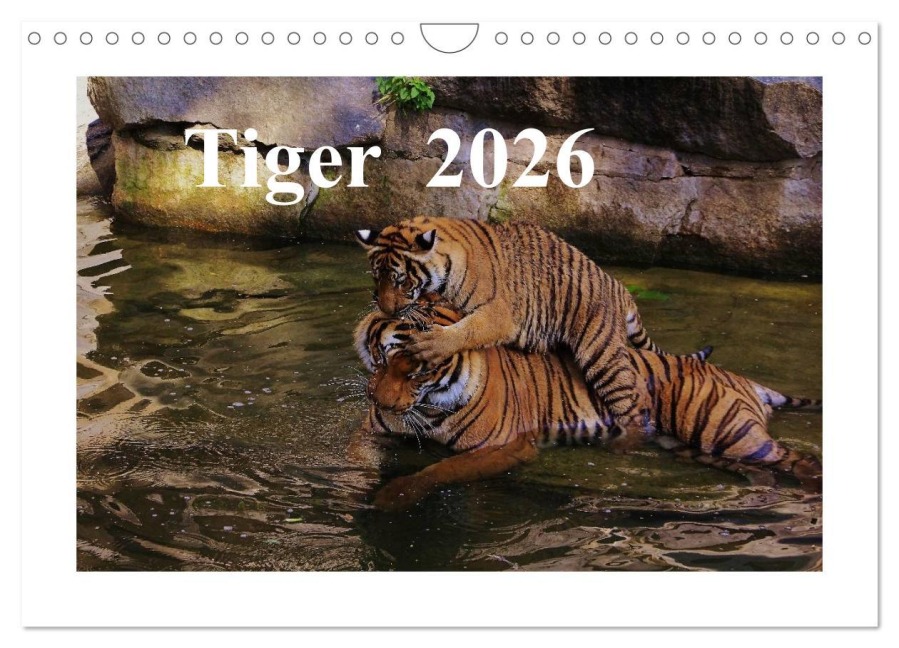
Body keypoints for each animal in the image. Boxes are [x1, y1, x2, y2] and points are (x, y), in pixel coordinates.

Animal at [351, 297, 822, 511]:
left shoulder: (507, 447)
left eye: (419, 371)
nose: (379, 400)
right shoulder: (371, 432)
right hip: (697, 449)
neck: (428, 404)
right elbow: (353, 459)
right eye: (383, 357)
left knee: (797, 459)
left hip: (728, 431)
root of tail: (740, 377)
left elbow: (443, 468)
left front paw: (392, 495)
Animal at [356, 216, 675, 452]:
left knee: (633, 407)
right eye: (376, 278)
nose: (386, 310)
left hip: (602, 356)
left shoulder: (498, 314)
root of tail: (619, 287)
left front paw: (431, 345)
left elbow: (466, 330)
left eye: (402, 280)